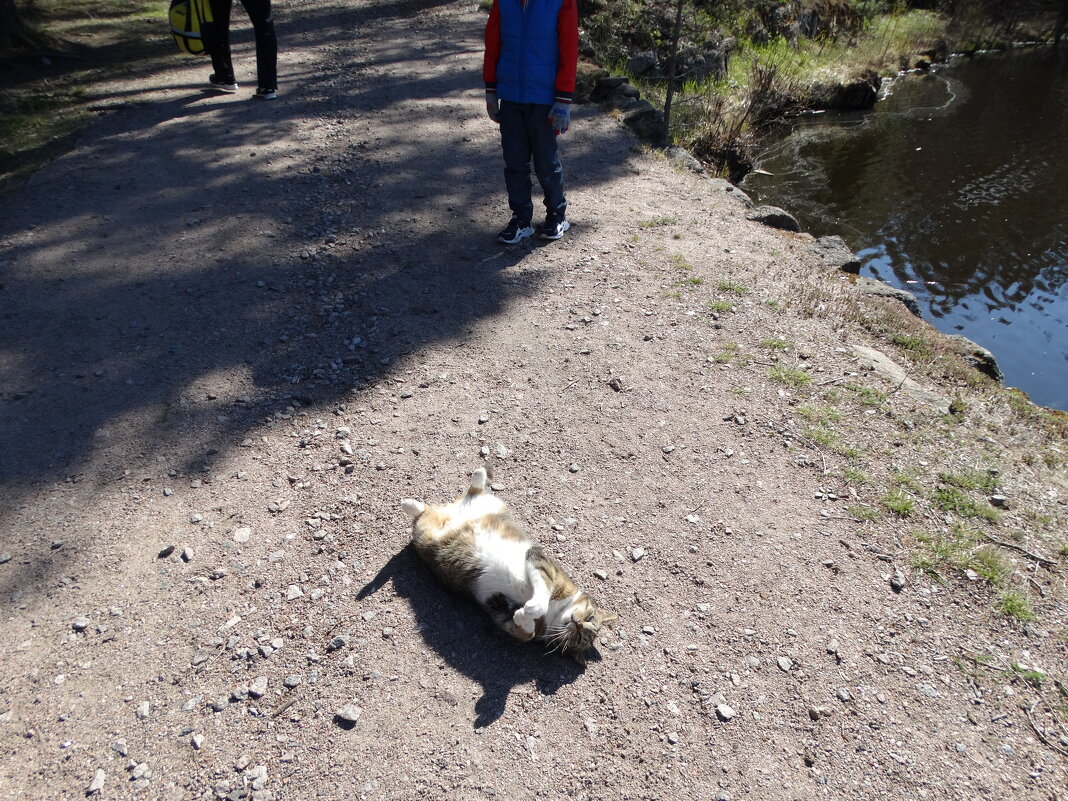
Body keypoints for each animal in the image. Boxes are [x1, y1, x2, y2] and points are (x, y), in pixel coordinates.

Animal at [401, 469, 619, 666]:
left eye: (580, 638)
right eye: (590, 617)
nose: (578, 623)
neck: (554, 614)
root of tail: (453, 514)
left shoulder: (497, 608)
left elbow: (525, 633)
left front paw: (523, 615)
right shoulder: (540, 561)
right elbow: (543, 589)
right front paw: (534, 607)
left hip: (426, 535)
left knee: (426, 513)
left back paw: (412, 504)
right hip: (492, 505)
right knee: (471, 493)